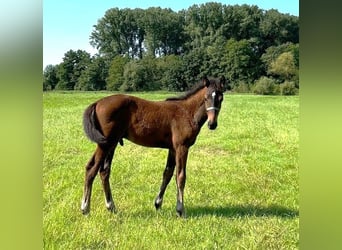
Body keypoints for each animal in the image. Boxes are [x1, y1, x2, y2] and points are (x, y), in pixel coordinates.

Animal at [81, 76, 226, 217]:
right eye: (206, 98)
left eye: (221, 98)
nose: (212, 124)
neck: (187, 112)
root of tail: (97, 103)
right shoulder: (182, 147)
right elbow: (180, 176)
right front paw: (180, 210)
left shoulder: (172, 149)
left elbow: (167, 173)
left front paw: (158, 203)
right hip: (106, 144)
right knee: (92, 169)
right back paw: (85, 208)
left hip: (111, 144)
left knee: (102, 170)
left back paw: (111, 207)